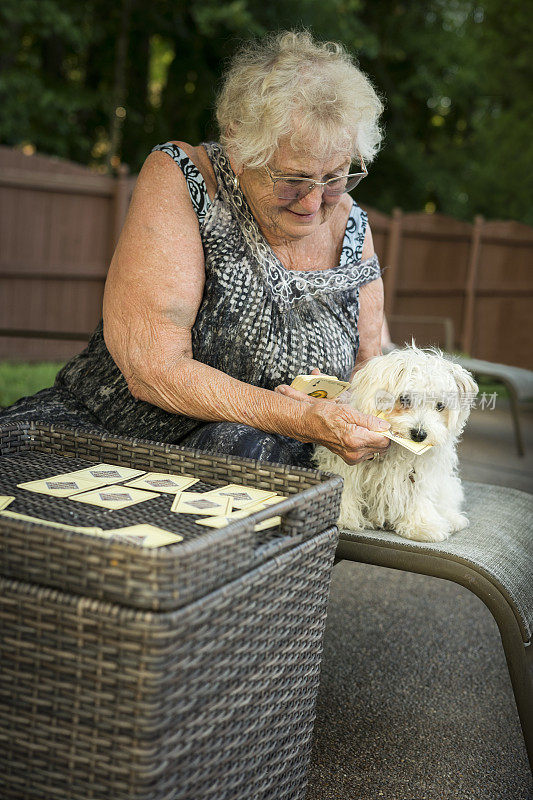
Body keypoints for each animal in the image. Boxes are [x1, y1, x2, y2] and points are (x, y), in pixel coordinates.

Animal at [314, 346, 480, 540]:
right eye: (405, 399)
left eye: (440, 406)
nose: (419, 434)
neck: (399, 448)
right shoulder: (346, 468)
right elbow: (347, 487)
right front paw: (343, 517)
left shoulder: (420, 475)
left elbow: (418, 498)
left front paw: (421, 525)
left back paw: (452, 519)